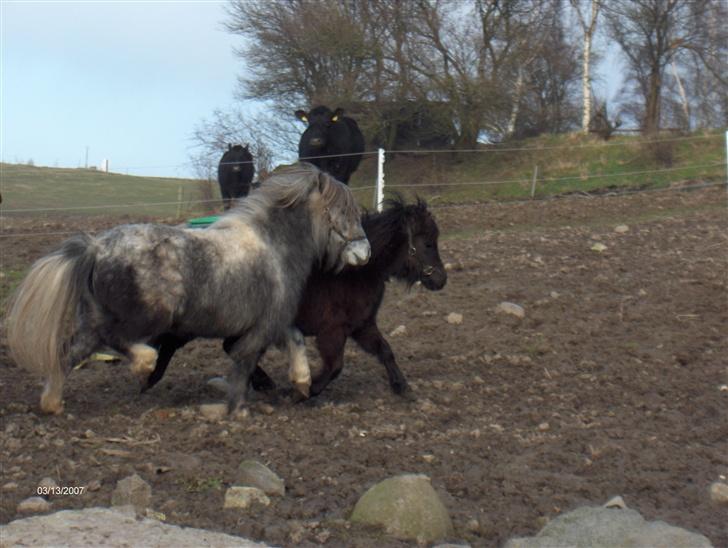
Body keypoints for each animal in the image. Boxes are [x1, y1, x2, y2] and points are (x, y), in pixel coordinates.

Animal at [145, 196, 446, 398]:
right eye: (427, 243)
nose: (441, 279)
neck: (354, 270)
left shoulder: (362, 326)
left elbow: (385, 351)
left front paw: (402, 388)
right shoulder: (333, 331)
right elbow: (335, 366)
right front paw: (306, 391)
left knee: (229, 347)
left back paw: (263, 383)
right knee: (175, 342)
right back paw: (150, 379)